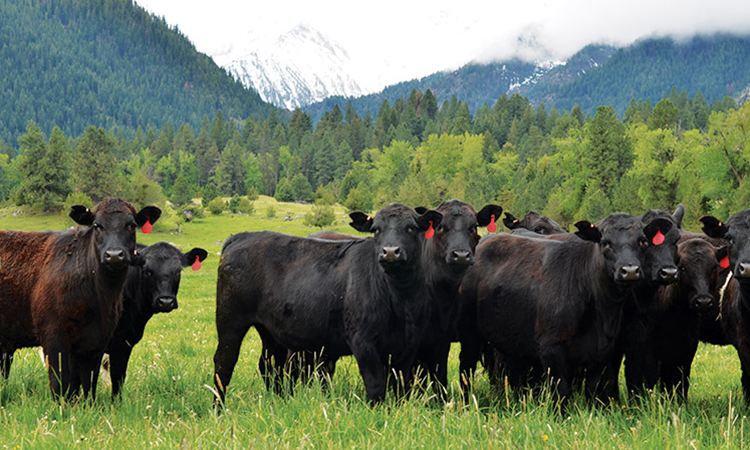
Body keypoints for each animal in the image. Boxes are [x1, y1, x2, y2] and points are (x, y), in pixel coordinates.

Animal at [0, 198, 161, 401]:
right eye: (96, 225)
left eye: (131, 225)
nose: (114, 255)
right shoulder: (54, 337)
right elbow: (61, 384)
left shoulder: (97, 341)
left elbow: (88, 386)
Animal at [213, 203, 442, 404]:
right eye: (376, 230)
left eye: (411, 227)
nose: (390, 252)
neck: (399, 300)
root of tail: (242, 236)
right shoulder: (362, 341)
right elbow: (376, 386)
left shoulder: (408, 344)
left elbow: (401, 386)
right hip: (230, 321)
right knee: (224, 363)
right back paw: (219, 409)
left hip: (270, 330)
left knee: (270, 365)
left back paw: (279, 401)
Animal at [458, 212, 674, 404]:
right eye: (605, 242)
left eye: (642, 241)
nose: (629, 270)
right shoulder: (551, 349)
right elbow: (561, 392)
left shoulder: (602, 353)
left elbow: (595, 391)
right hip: (471, 335)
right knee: (469, 369)